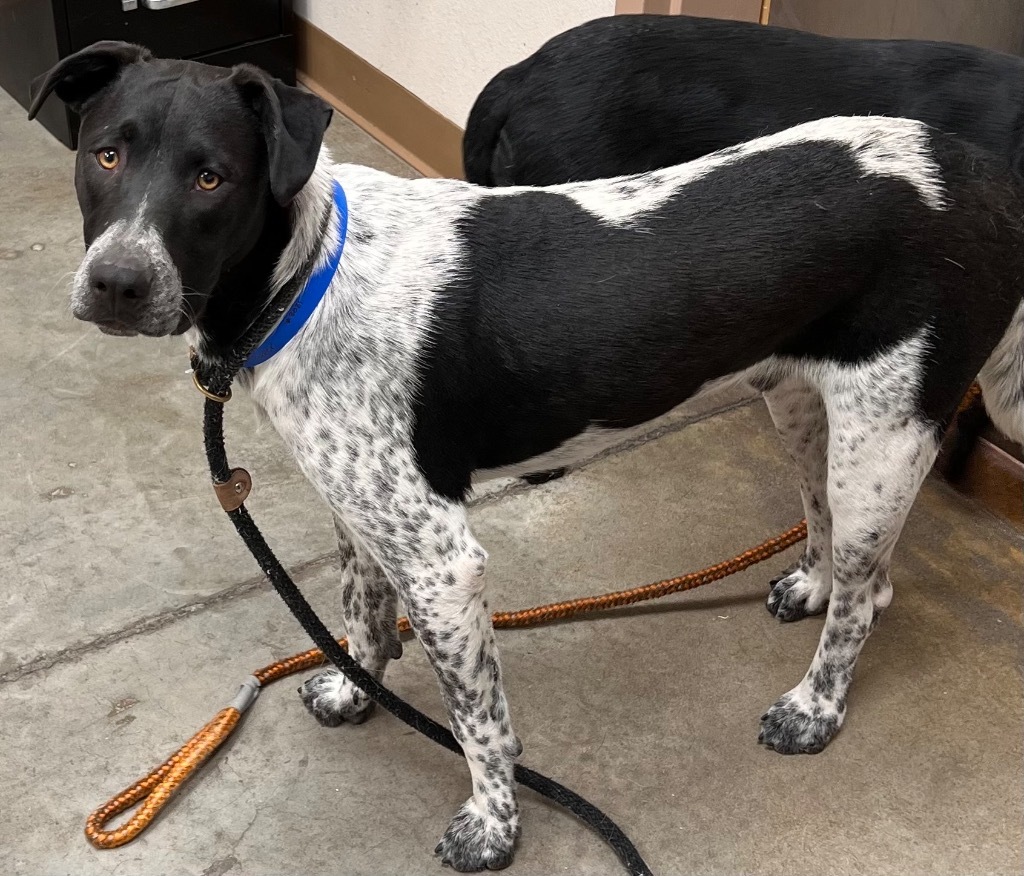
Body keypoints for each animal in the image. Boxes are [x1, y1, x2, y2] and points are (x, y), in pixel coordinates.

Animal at [32, 39, 1024, 868]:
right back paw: (809, 588)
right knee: (840, 547)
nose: (117, 284)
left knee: (865, 595)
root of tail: (980, 175)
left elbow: (478, 720)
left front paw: (493, 827)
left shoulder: (443, 565)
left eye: (213, 178)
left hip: (884, 440)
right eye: (106, 156)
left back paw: (814, 708)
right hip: (803, 408)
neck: (304, 274)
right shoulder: (361, 517)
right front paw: (355, 697)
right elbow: (360, 622)